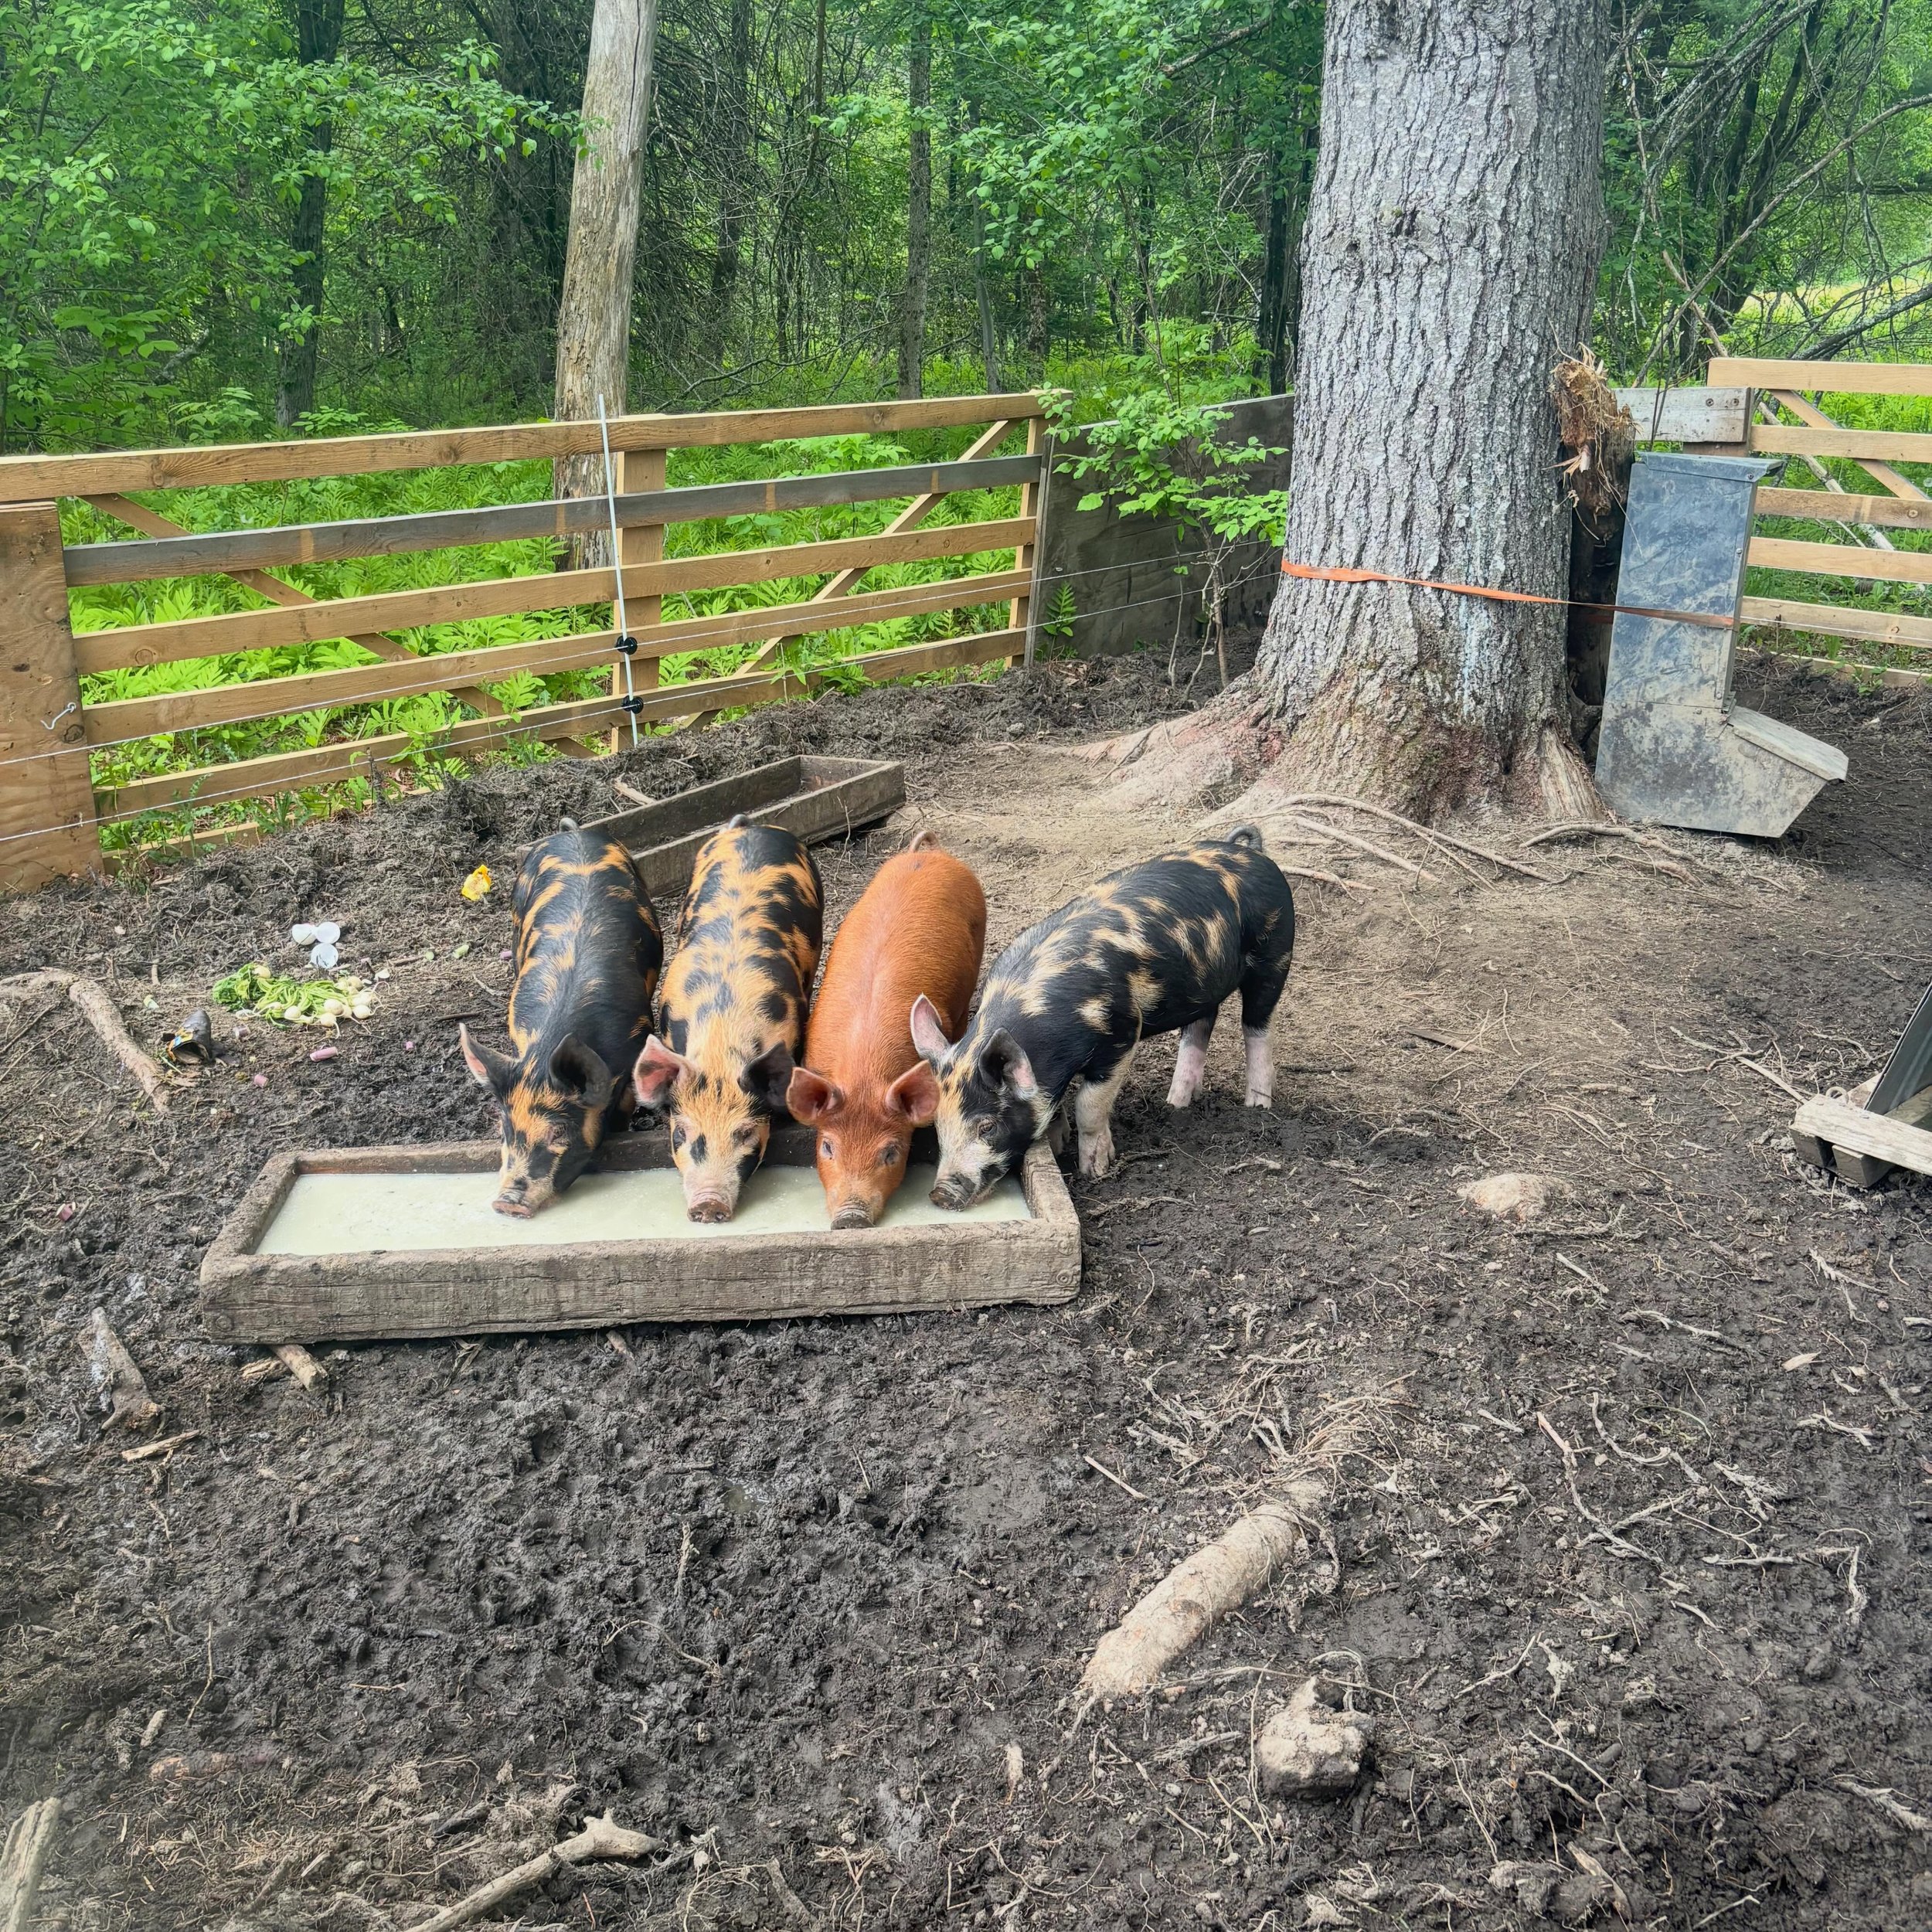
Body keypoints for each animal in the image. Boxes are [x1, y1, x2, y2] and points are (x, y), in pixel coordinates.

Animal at [912, 827, 1296, 1208]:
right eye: (937, 1124)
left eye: (987, 1126)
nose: (940, 1193)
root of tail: (1253, 853)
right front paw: (1058, 1146)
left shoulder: (1121, 1033)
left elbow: (1089, 1104)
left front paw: (1095, 1170)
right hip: (1204, 986)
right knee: (1199, 1029)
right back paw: (1176, 1105)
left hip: (1275, 955)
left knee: (1258, 1028)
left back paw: (1256, 1105)